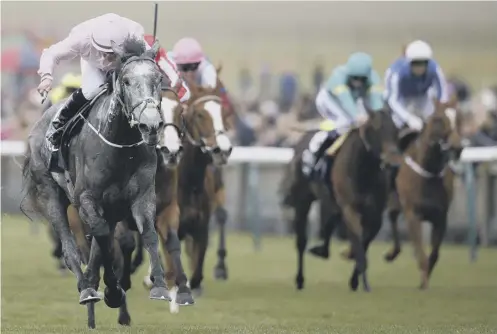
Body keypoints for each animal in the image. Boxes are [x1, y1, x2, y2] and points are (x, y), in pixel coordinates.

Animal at [22, 37, 170, 328]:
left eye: (158, 78)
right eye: (126, 80)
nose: (150, 125)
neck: (121, 146)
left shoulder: (142, 196)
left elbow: (147, 233)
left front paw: (158, 286)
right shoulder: (86, 199)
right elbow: (100, 237)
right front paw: (111, 291)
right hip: (51, 195)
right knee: (70, 248)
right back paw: (87, 289)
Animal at [388, 102, 462, 290]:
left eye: (459, 117)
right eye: (438, 119)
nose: (457, 147)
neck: (429, 172)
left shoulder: (441, 218)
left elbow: (434, 254)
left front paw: (424, 280)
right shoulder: (413, 215)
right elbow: (421, 253)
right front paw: (424, 284)